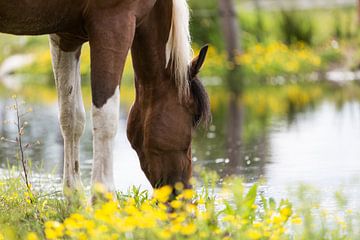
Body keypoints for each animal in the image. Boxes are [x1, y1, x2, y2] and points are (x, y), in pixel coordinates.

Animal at [0, 0, 211, 195]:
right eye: (193, 117)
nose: (186, 191)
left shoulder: (66, 36)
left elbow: (71, 118)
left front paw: (75, 199)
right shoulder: (114, 23)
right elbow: (105, 119)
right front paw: (103, 200)